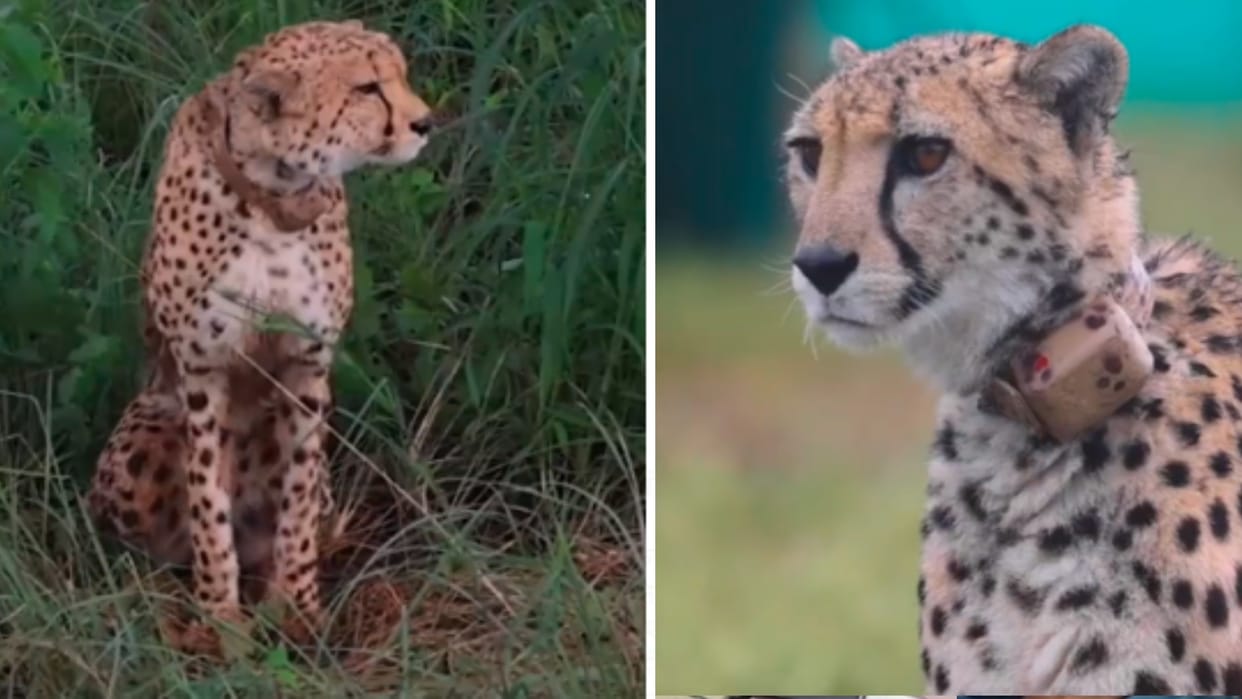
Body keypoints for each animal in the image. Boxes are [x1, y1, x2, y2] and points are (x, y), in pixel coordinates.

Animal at [86, 18, 435, 640]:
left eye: (399, 77)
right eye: (367, 88)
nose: (425, 123)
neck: (275, 193)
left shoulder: (307, 363)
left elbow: (297, 493)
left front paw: (296, 605)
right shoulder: (203, 369)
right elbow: (207, 498)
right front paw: (220, 617)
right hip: (146, 430)